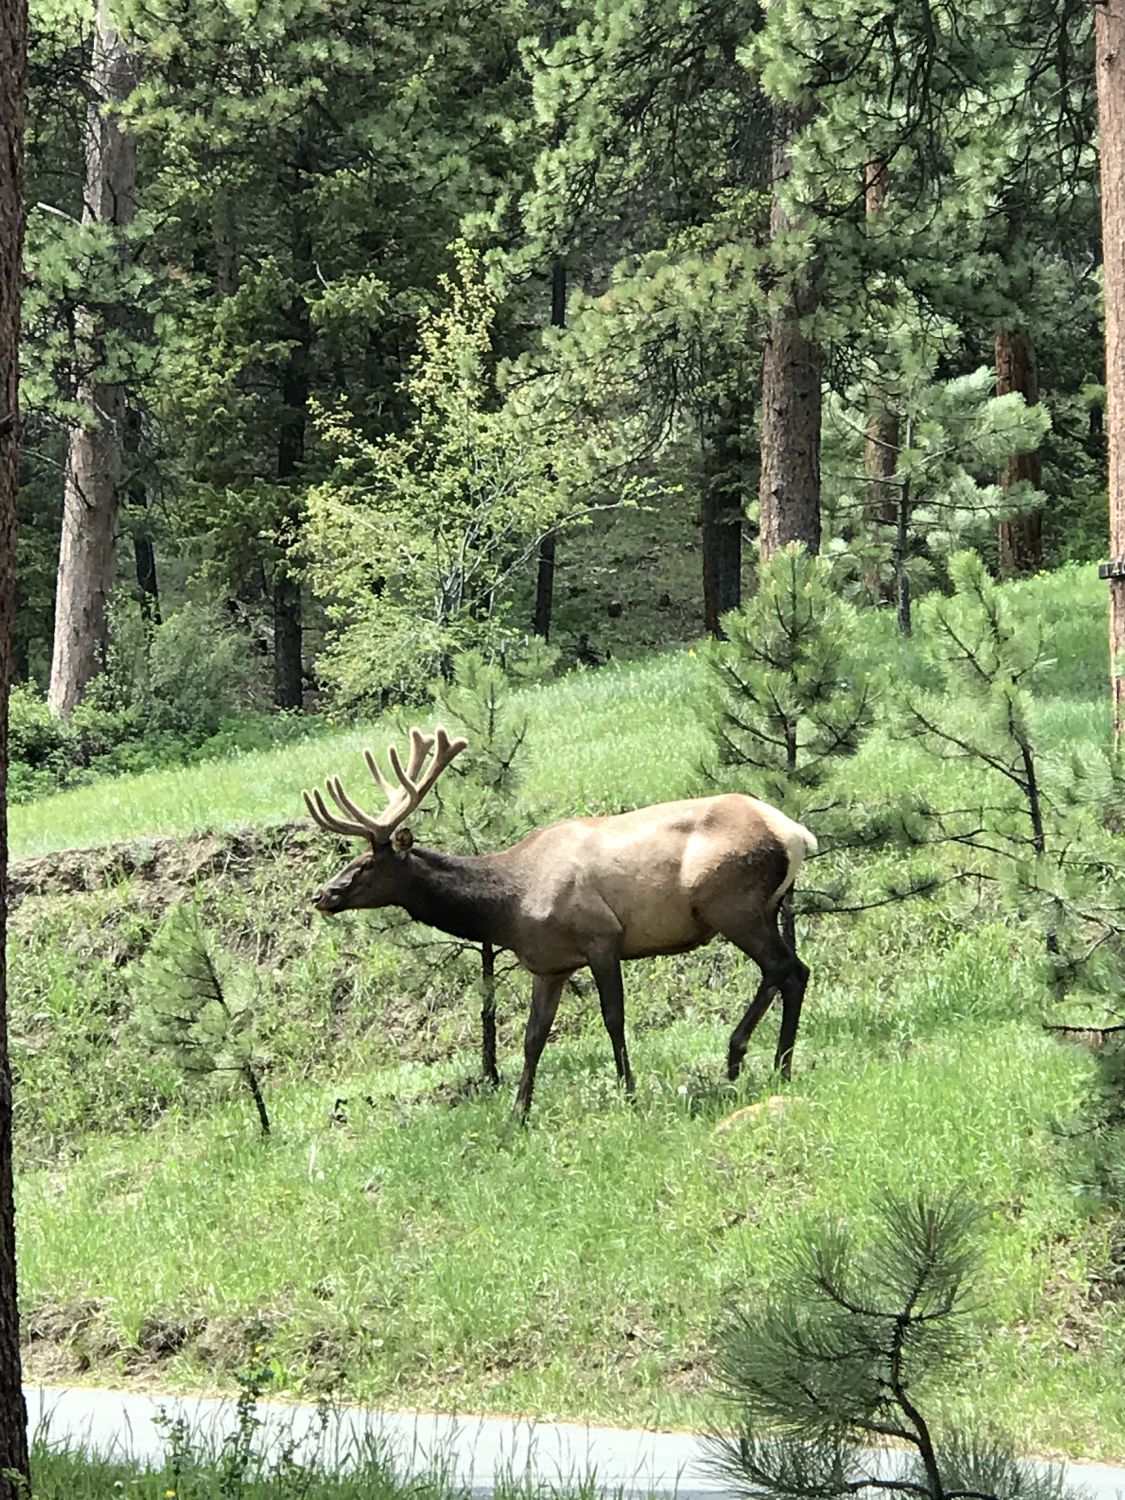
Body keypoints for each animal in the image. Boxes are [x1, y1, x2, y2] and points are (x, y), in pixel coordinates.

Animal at [306, 726, 822, 1116]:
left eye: (366, 864)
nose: (321, 894)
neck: (508, 907)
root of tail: (796, 833)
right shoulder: (550, 964)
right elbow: (533, 1038)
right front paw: (517, 1115)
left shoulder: (602, 936)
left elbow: (613, 1018)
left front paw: (629, 1093)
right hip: (761, 908)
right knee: (785, 971)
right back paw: (758, 1060)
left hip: (731, 903)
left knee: (788, 969)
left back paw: (761, 1061)